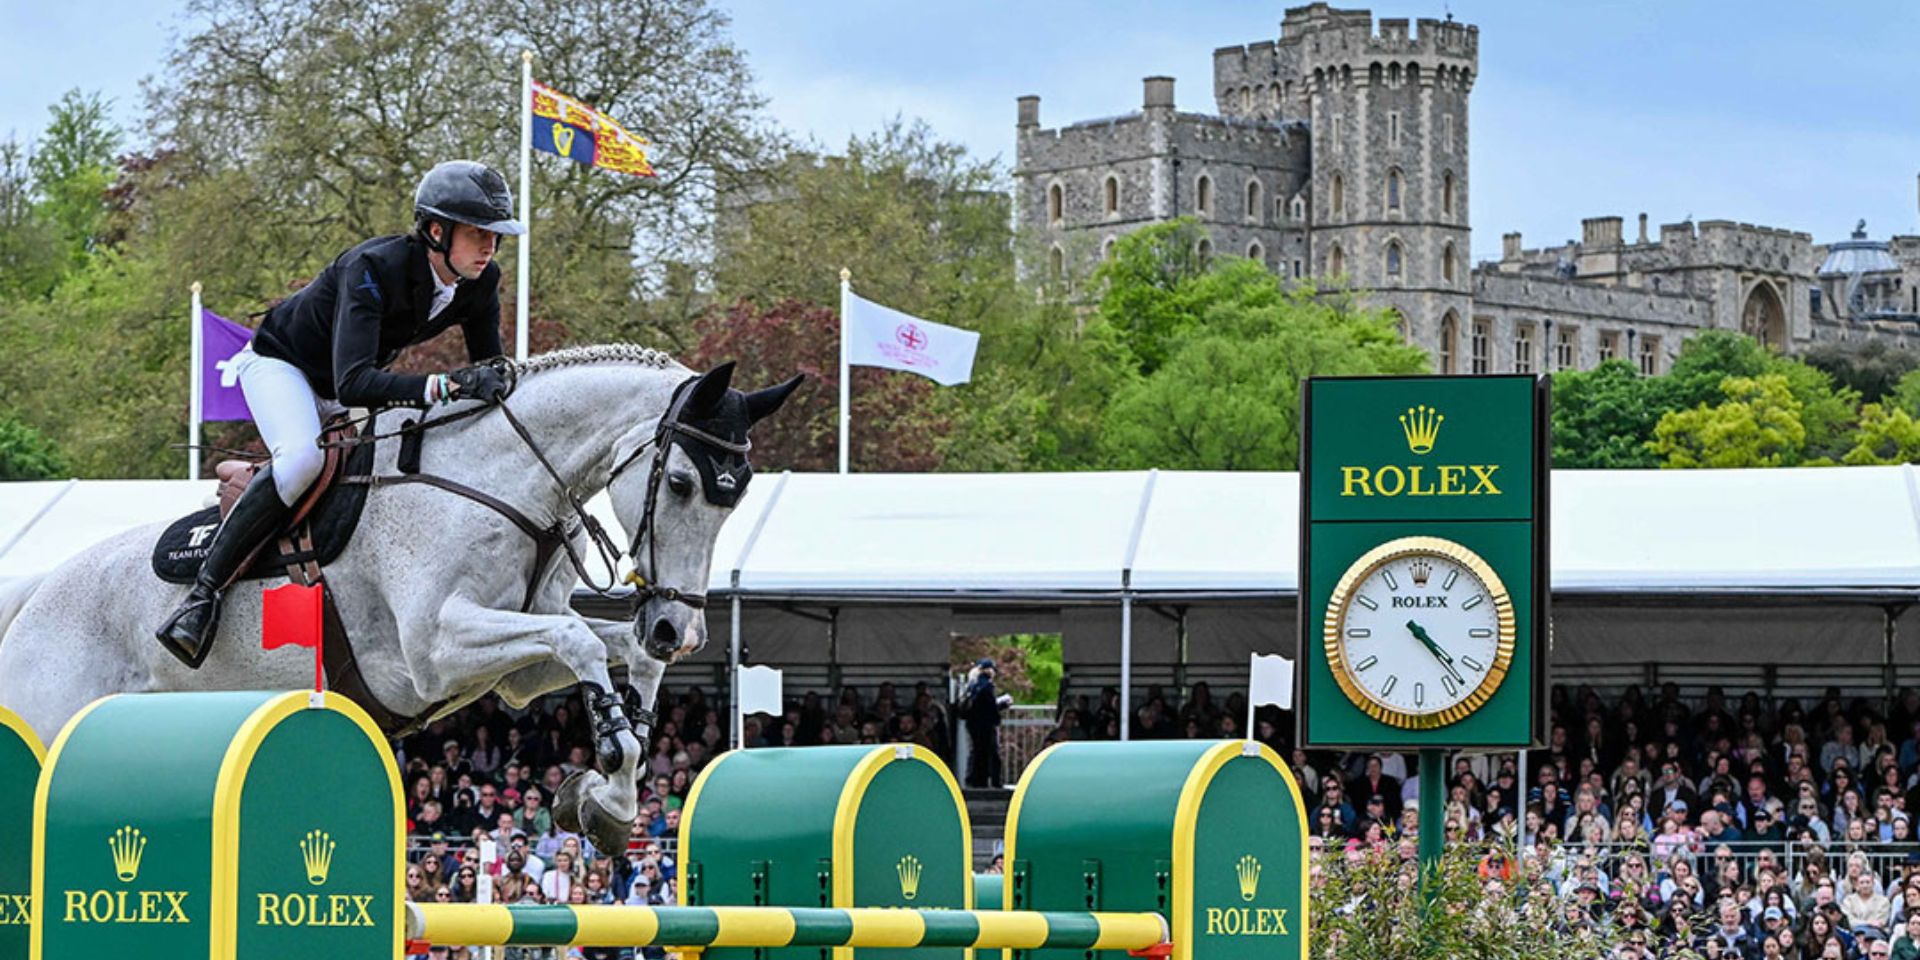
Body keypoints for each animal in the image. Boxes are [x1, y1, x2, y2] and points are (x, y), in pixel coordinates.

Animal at [0, 343, 802, 848]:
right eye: (681, 483)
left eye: (739, 494)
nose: (678, 628)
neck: (504, 483)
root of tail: (38, 593)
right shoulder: (432, 652)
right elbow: (579, 641)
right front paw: (609, 749)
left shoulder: (516, 669)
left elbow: (615, 654)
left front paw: (608, 794)